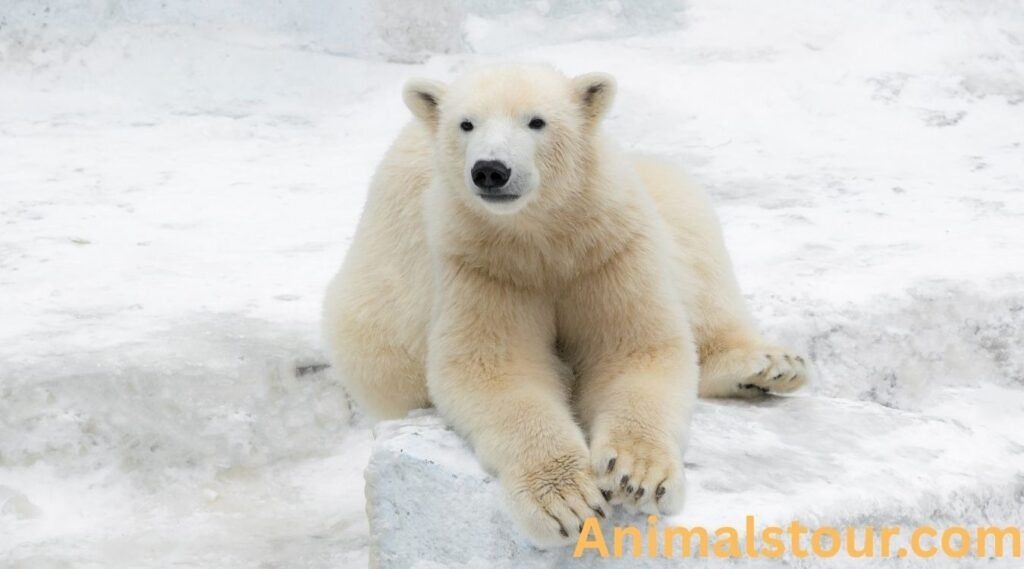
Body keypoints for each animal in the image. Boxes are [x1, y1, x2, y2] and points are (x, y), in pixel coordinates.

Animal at [322, 63, 810, 547]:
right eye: (466, 124)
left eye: (536, 121)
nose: (491, 170)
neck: (543, 237)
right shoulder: (481, 265)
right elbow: (496, 370)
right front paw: (567, 502)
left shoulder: (608, 246)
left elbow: (637, 348)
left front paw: (636, 476)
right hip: (370, 315)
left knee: (692, 227)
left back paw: (769, 364)